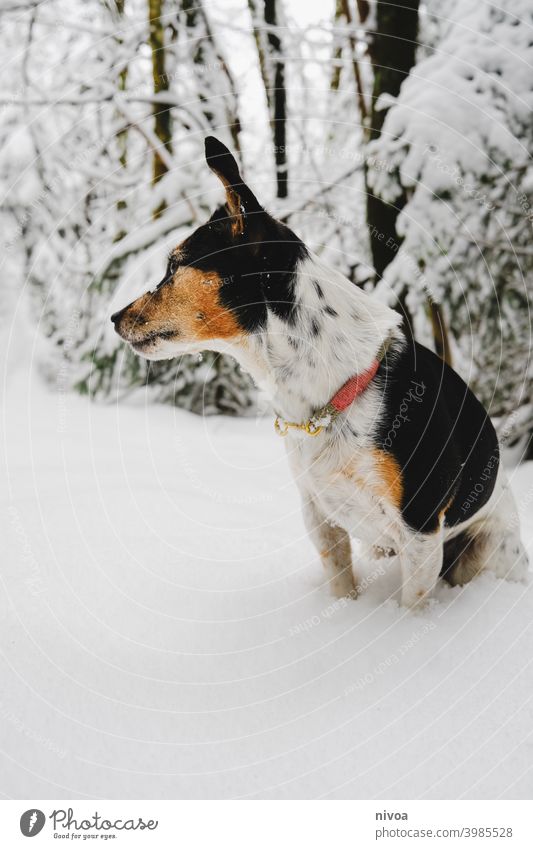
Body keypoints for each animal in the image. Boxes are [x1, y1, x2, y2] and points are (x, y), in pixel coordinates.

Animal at [110, 136, 524, 608]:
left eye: (174, 266)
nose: (114, 317)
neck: (328, 387)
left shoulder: (420, 528)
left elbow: (412, 606)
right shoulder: (320, 515)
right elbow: (341, 584)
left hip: (485, 547)